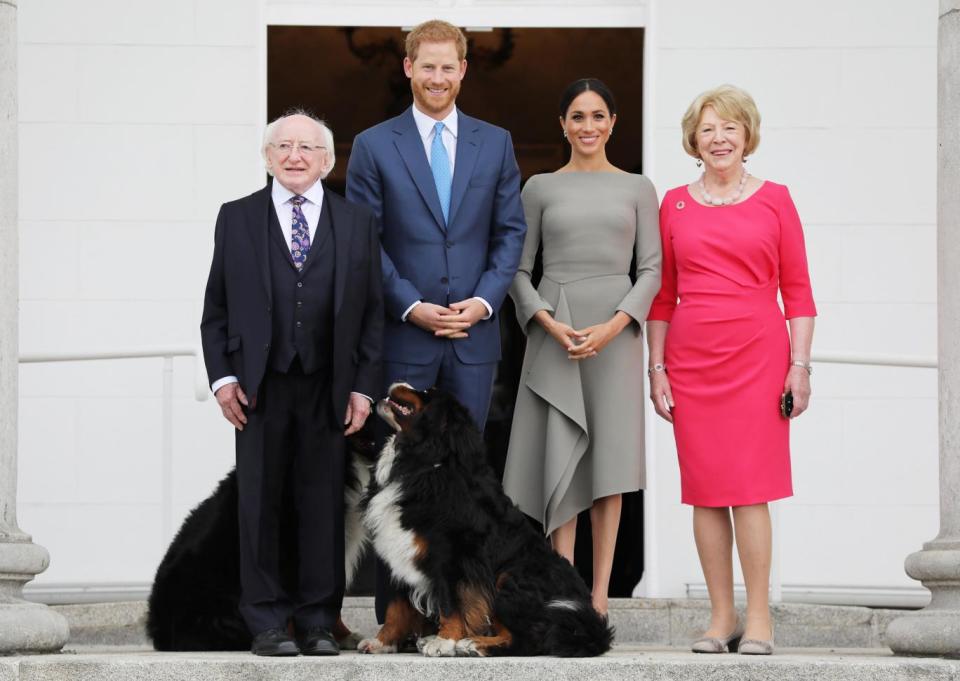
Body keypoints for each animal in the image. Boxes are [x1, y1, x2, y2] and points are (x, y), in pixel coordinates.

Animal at [360, 382, 616, 652]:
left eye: (428, 392)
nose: (401, 383)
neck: (423, 464)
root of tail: (589, 622)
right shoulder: (402, 550)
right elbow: (395, 608)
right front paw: (381, 642)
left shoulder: (451, 556)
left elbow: (451, 602)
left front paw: (445, 641)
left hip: (509, 578)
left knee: (523, 640)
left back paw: (471, 644)